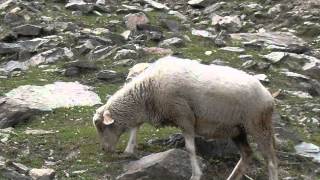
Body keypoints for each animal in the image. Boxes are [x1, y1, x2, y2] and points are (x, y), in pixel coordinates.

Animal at [92, 56, 278, 180]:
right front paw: (130, 148)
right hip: (237, 130)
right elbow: (135, 126)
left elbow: (190, 148)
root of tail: (268, 96)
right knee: (247, 154)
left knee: (271, 161)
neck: (147, 91)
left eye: (101, 126)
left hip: (259, 125)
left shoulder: (185, 117)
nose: (104, 149)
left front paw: (196, 174)